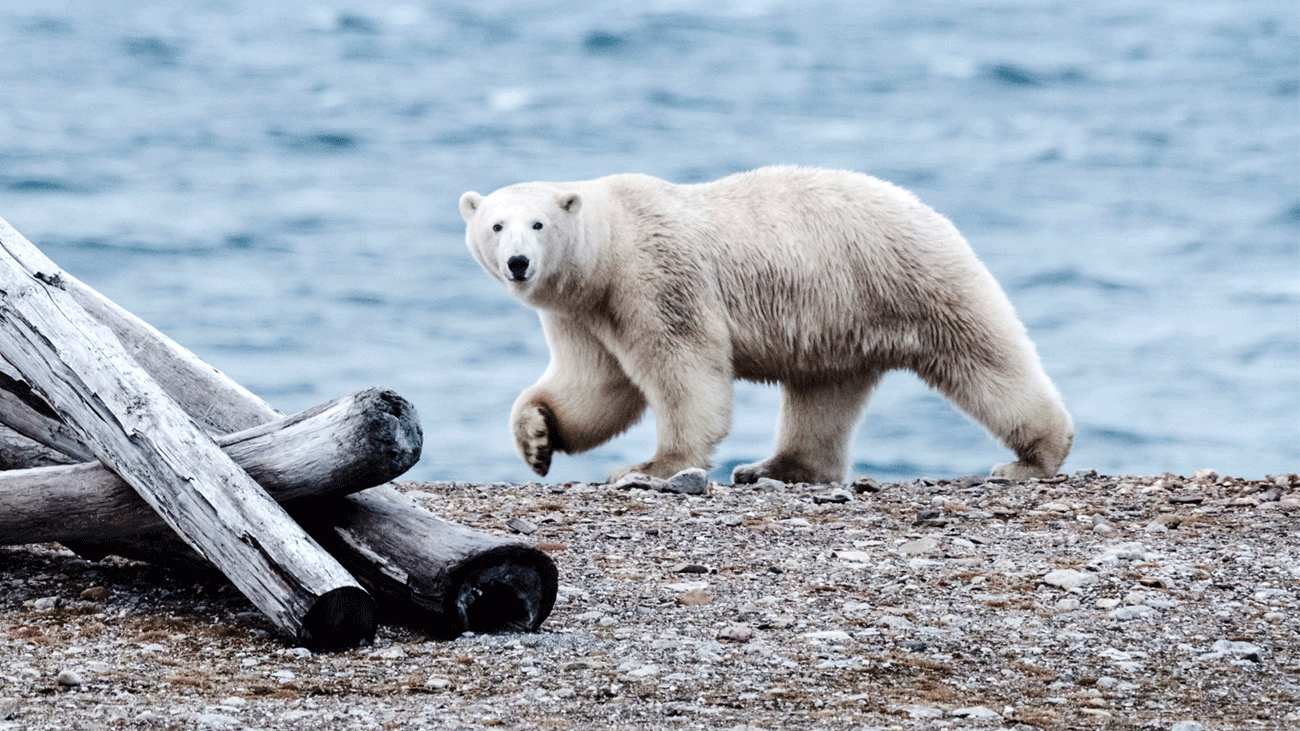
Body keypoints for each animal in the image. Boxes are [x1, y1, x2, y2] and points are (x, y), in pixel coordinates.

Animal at [459, 166, 1073, 484]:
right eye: (496, 225)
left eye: (538, 223)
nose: (519, 263)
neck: (610, 246)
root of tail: (926, 209)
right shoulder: (584, 312)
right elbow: (596, 387)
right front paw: (537, 438)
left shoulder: (656, 276)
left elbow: (684, 369)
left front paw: (654, 465)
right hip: (842, 319)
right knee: (823, 395)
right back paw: (775, 466)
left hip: (905, 277)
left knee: (982, 355)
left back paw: (1035, 456)